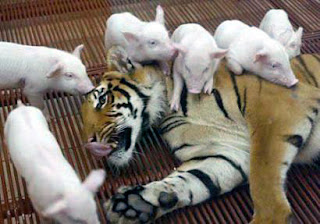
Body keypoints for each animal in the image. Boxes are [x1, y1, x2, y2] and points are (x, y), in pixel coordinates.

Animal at [81, 46, 320, 223]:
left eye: (101, 99)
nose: (90, 143)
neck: (167, 111)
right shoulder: (227, 150)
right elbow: (192, 178)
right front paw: (135, 203)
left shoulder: (277, 107)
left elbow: (263, 178)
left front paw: (269, 219)